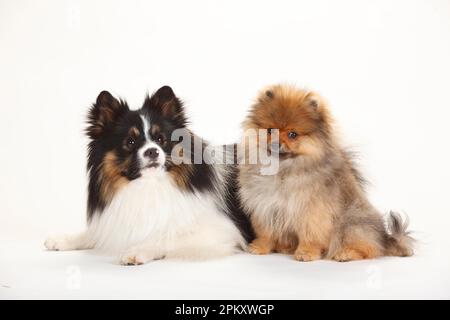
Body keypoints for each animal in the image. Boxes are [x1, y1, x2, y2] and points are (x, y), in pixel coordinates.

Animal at [239, 85, 414, 262]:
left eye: (292, 134)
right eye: (269, 131)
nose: (276, 143)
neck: (283, 168)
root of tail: (385, 238)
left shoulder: (312, 210)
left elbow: (310, 233)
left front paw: (307, 252)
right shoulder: (265, 205)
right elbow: (266, 231)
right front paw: (260, 246)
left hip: (351, 222)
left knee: (369, 248)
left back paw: (346, 253)